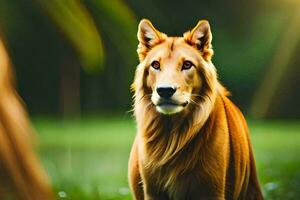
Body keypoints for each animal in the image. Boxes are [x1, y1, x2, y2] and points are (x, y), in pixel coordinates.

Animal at [127, 19, 264, 200]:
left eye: (187, 65)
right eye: (155, 65)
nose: (165, 90)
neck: (172, 134)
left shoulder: (212, 190)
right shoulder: (152, 191)